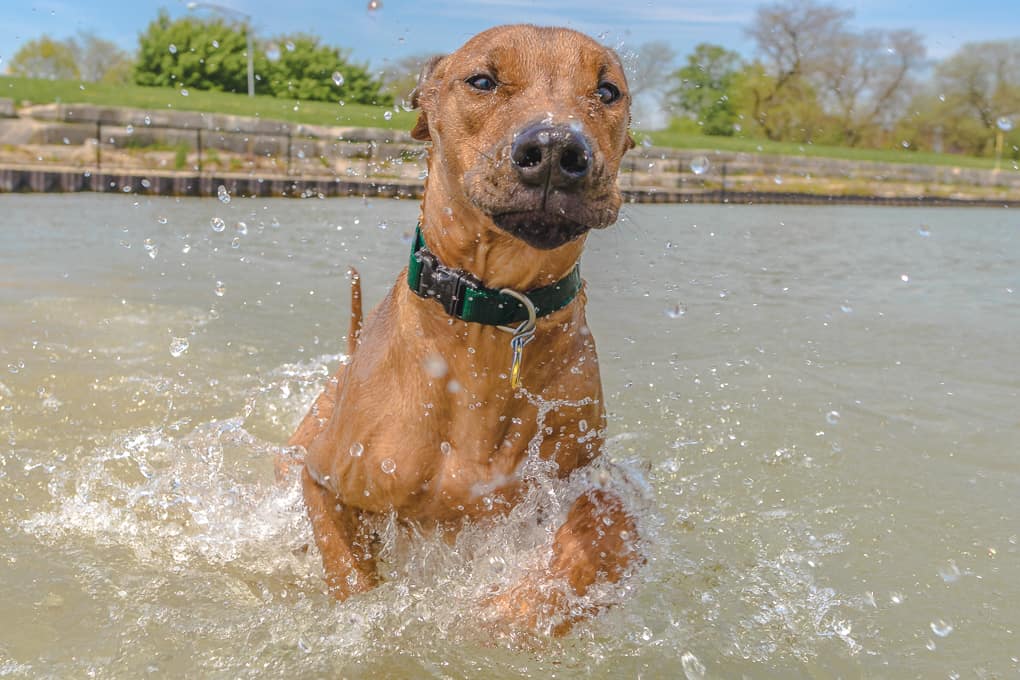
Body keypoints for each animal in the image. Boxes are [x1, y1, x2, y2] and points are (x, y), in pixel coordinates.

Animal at [287, 23, 636, 636]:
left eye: (608, 90)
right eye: (482, 81)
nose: (555, 149)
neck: (490, 326)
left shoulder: (584, 476)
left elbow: (606, 526)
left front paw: (514, 612)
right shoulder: (324, 480)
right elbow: (352, 580)